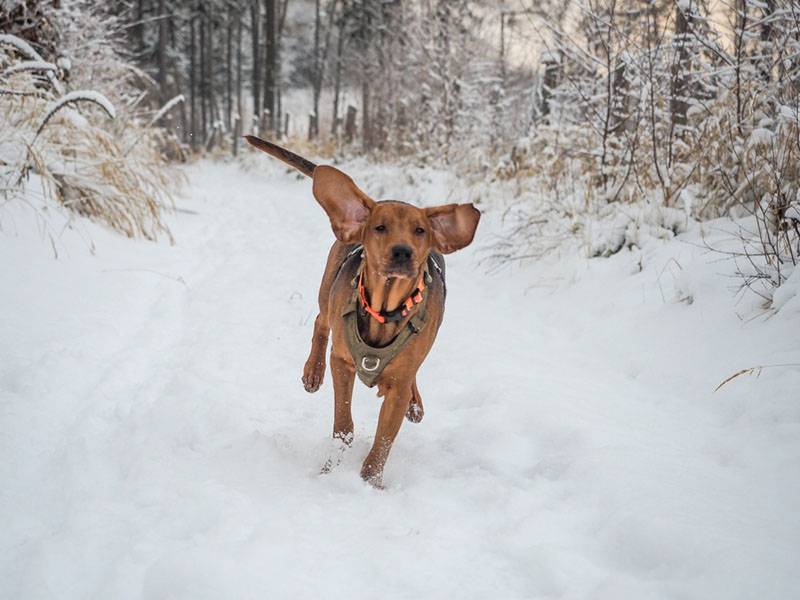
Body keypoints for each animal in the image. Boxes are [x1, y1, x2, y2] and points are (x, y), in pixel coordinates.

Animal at [245, 136, 482, 488]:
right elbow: (343, 426)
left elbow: (384, 439)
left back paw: (415, 404)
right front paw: (330, 471)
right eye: (380, 228)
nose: (402, 252)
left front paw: (372, 483)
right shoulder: (342, 363)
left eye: (420, 231)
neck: (386, 311)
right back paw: (312, 372)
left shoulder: (399, 383)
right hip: (327, 289)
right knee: (321, 320)